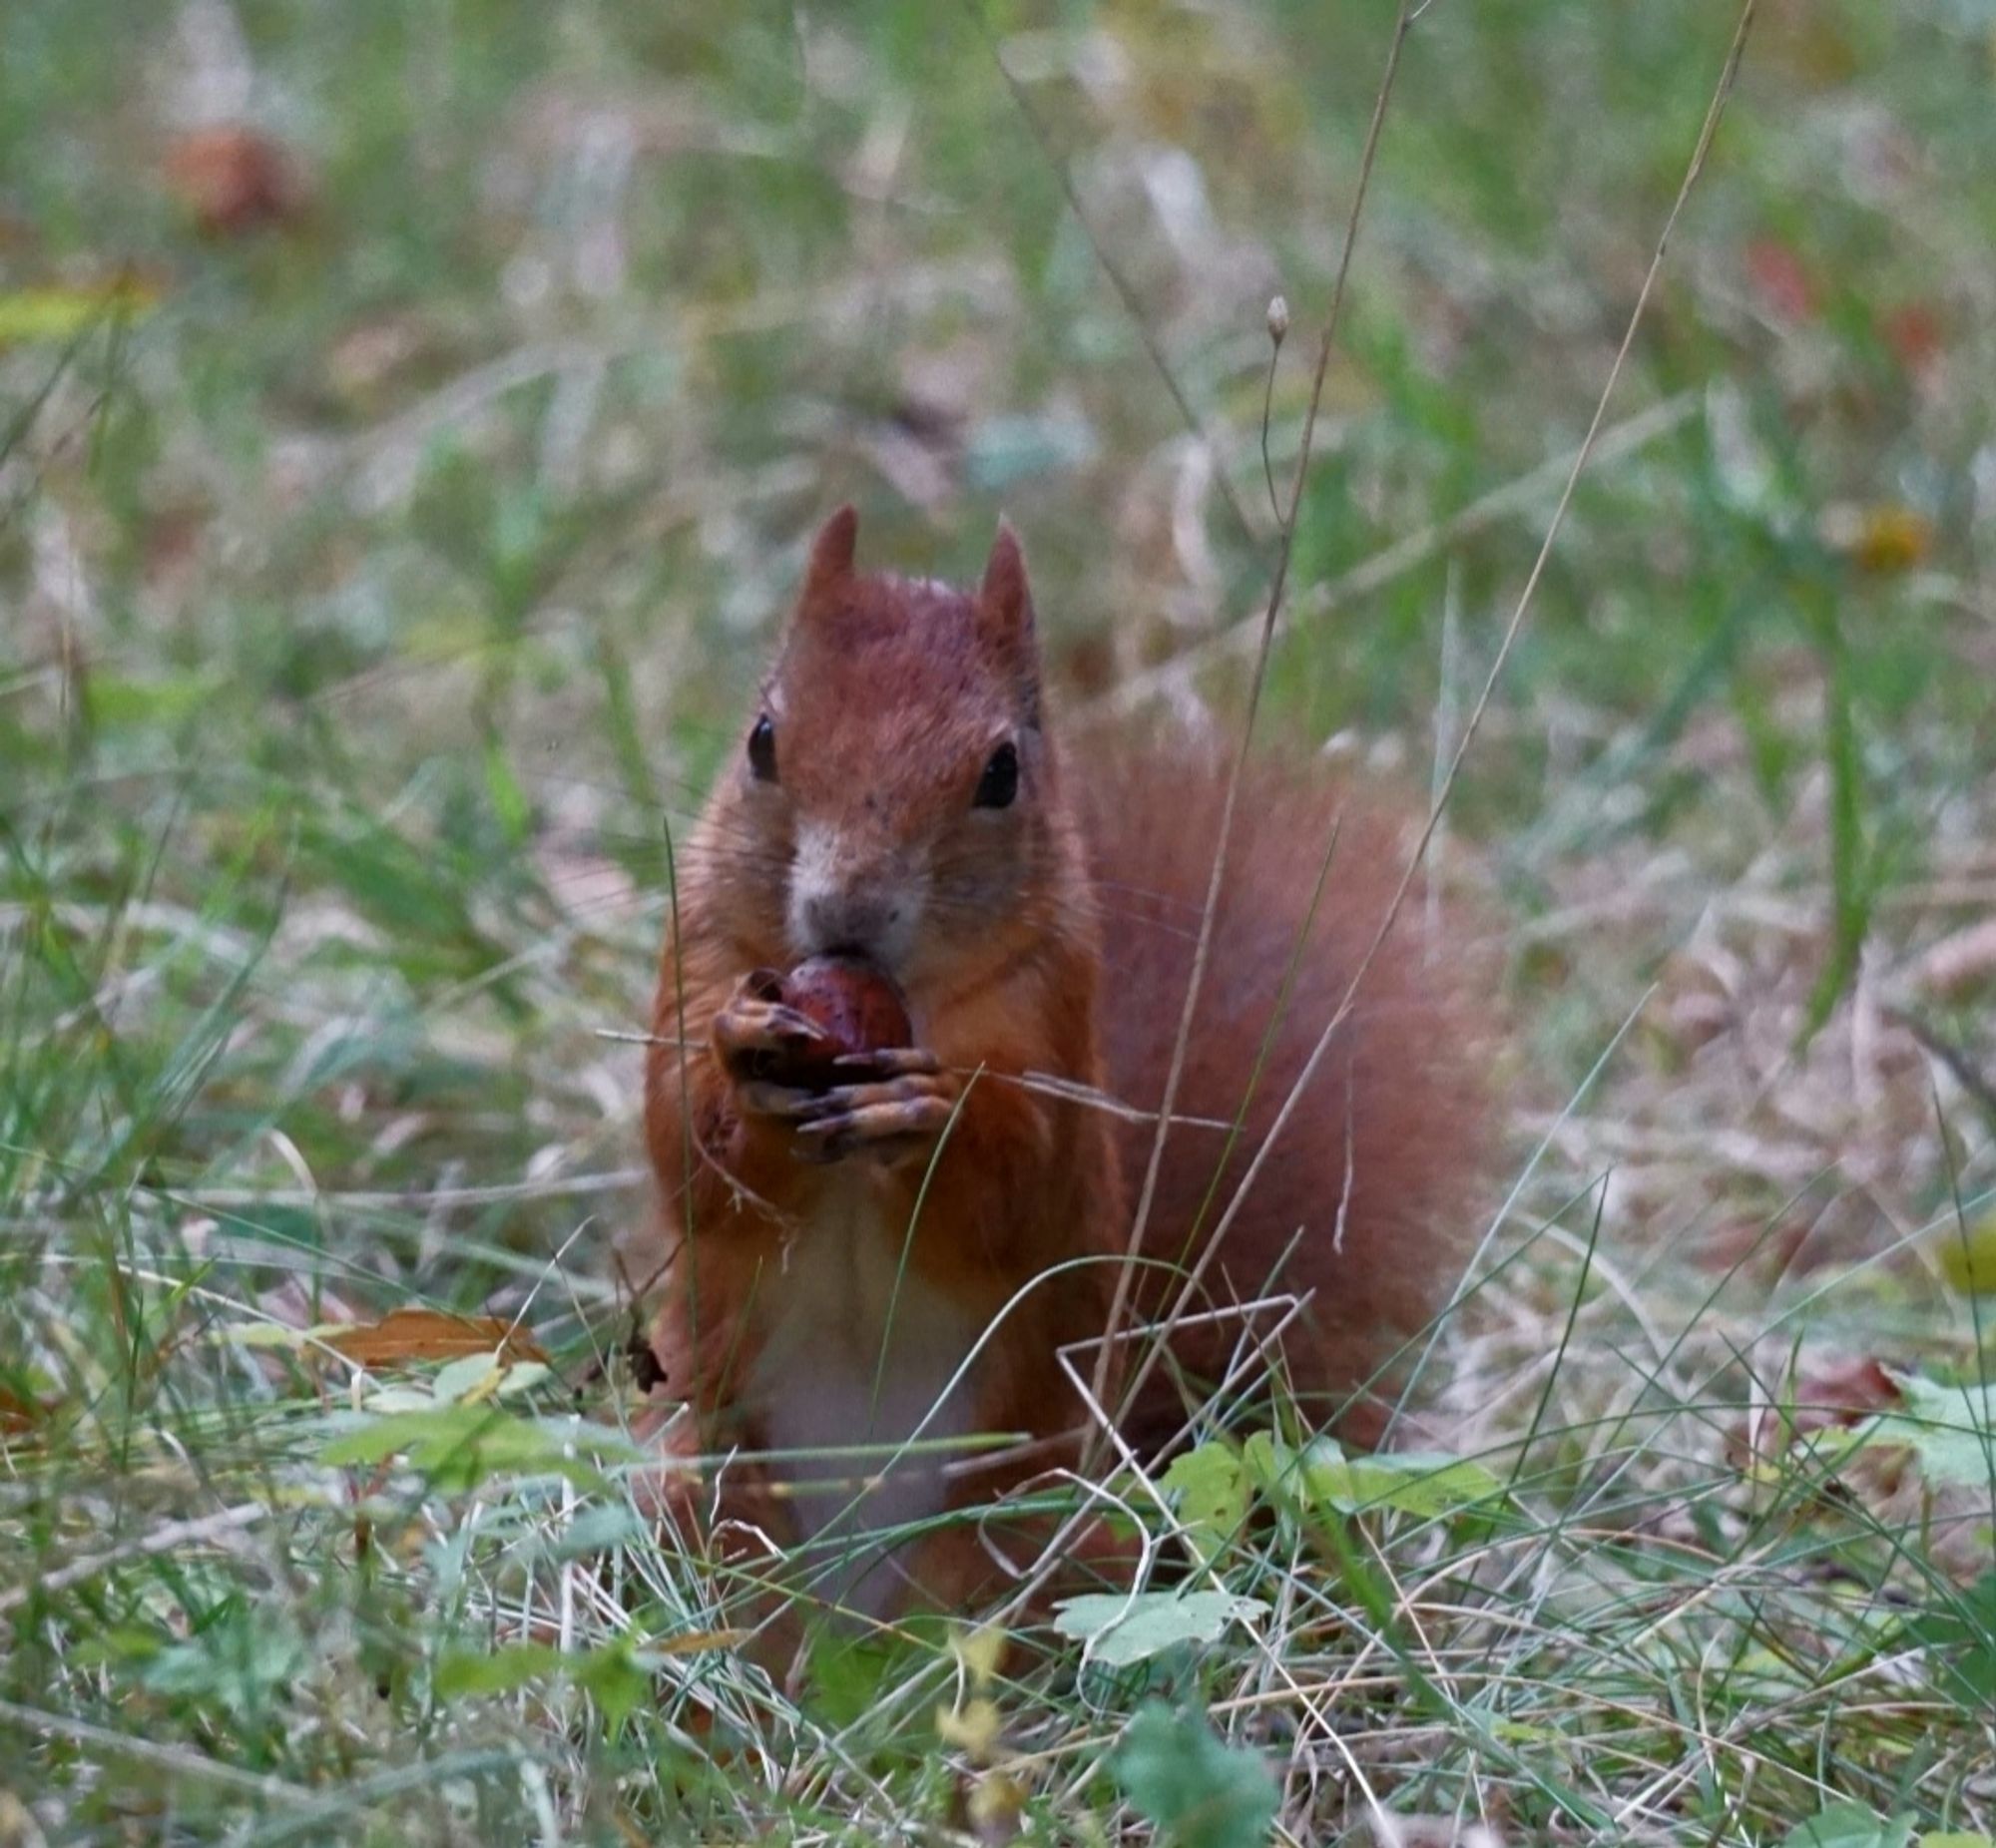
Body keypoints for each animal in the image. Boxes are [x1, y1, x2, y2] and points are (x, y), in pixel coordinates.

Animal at [631, 511, 1493, 1636]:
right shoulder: (695, 952)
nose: (846, 910)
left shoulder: (1051, 1011)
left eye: (1001, 772)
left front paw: (923, 1117)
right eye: (762, 741)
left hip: (1025, 1549)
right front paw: (744, 1061)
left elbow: (1017, 1193)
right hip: (706, 1493)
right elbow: (687, 1160)